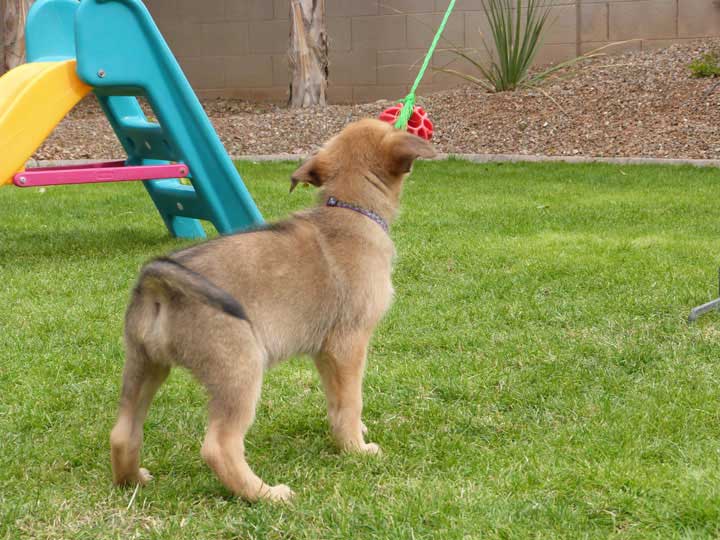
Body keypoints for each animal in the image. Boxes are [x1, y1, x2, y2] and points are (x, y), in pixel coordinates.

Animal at [109, 118, 436, 502]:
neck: (349, 210)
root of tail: (158, 281)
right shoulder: (349, 343)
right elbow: (351, 400)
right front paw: (356, 449)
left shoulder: (326, 352)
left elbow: (336, 400)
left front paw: (347, 435)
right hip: (240, 369)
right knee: (219, 446)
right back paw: (266, 494)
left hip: (145, 364)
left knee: (123, 432)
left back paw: (133, 480)